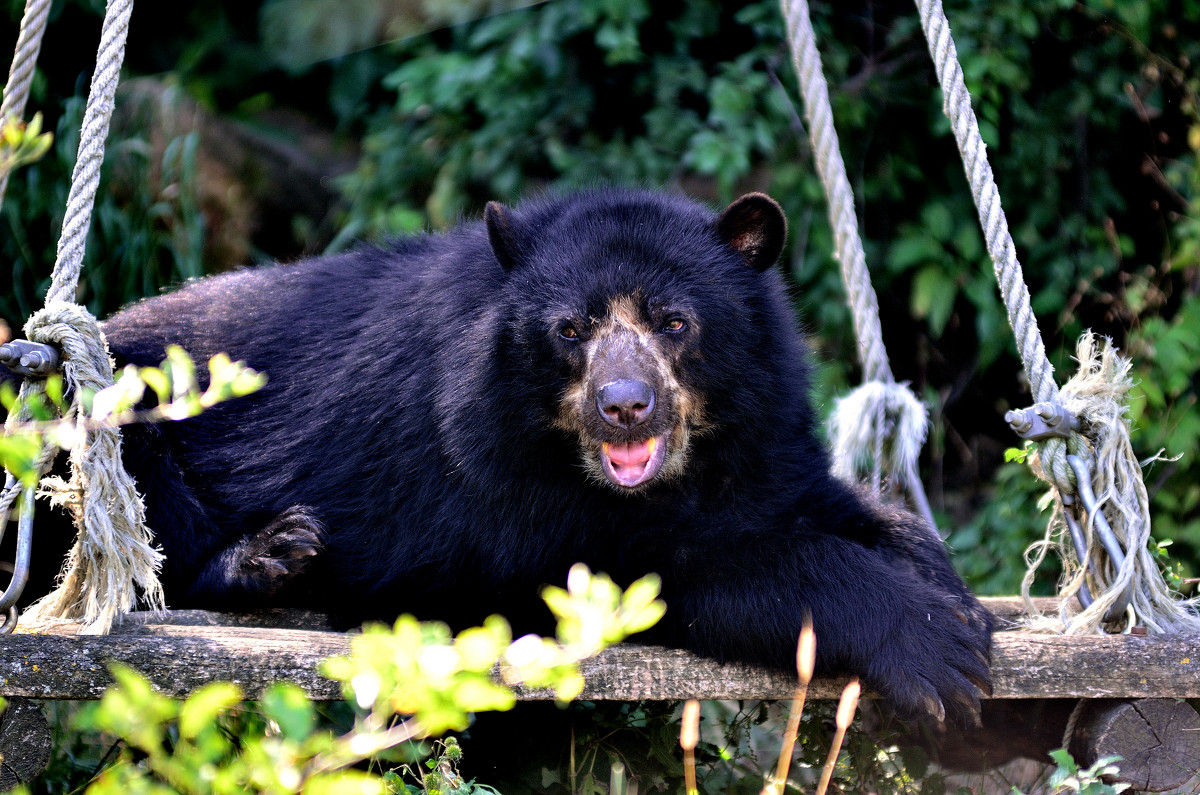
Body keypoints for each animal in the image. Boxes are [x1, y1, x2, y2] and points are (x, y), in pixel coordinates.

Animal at [28, 192, 993, 720]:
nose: (624, 406)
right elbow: (686, 566)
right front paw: (941, 651)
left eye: (675, 322)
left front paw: (958, 601)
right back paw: (269, 555)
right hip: (116, 417)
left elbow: (829, 505)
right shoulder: (499, 475)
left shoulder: (764, 427)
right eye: (570, 330)